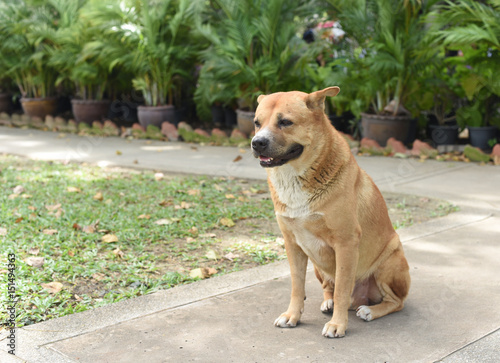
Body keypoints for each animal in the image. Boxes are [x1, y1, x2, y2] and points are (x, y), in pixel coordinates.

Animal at [250, 87, 410, 338]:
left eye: (285, 122)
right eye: (257, 123)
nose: (257, 143)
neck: (295, 177)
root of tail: (360, 300)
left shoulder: (346, 243)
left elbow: (342, 289)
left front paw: (338, 325)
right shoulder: (292, 244)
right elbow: (297, 286)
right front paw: (292, 315)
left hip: (390, 262)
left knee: (396, 302)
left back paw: (370, 311)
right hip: (318, 267)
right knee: (328, 288)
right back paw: (328, 302)